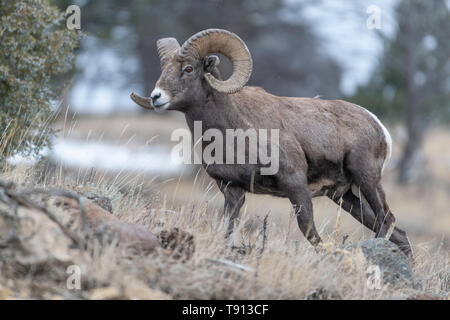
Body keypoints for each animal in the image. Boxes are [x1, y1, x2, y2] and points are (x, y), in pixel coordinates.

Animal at [129, 28, 412, 258]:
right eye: (164, 69)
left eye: (188, 69)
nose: (156, 97)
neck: (233, 129)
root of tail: (378, 125)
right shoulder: (232, 191)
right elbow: (227, 230)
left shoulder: (295, 185)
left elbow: (309, 232)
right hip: (344, 196)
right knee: (398, 233)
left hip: (367, 181)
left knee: (387, 220)